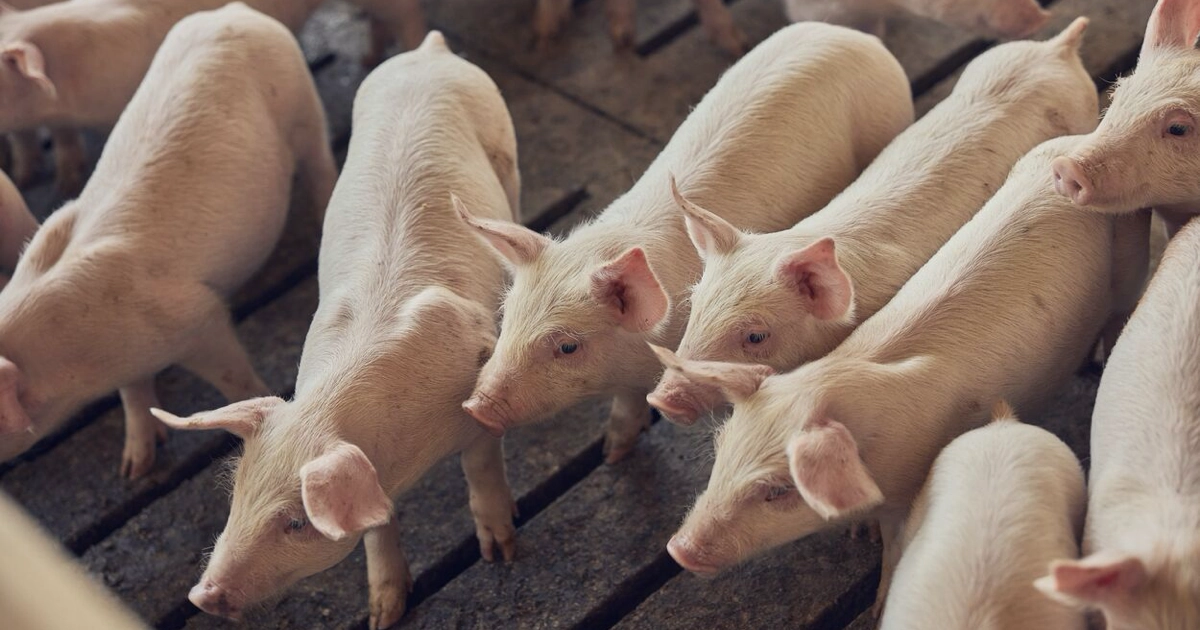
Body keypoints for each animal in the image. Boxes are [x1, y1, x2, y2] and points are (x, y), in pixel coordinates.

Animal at [0, 2, 338, 479]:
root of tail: (234, 12)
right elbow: (133, 393)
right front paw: (133, 470)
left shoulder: (196, 318)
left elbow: (232, 374)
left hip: (303, 110)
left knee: (321, 167)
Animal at [151, 32, 521, 629]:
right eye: (236, 492)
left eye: (297, 521)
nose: (201, 596)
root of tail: (429, 52)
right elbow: (375, 525)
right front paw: (383, 614)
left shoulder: (476, 390)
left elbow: (481, 465)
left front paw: (503, 555)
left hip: (504, 146)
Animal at [458, 21, 914, 463]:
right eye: (507, 315)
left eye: (568, 346)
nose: (476, 408)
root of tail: (855, 36)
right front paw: (614, 455)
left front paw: (614, 454)